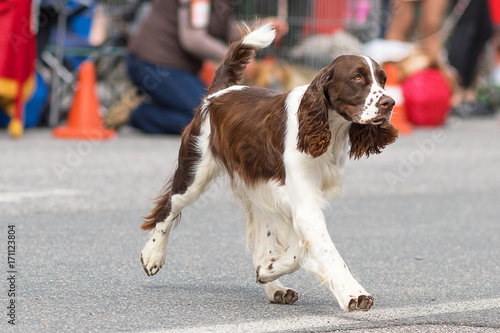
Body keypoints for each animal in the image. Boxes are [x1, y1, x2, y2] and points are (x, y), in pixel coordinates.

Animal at [140, 24, 398, 312]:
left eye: (383, 79)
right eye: (357, 78)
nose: (389, 103)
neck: (328, 127)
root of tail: (217, 94)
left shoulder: (300, 202)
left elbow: (297, 251)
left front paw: (267, 270)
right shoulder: (304, 203)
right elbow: (326, 252)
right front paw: (354, 293)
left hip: (257, 189)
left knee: (260, 242)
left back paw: (275, 288)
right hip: (195, 172)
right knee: (169, 207)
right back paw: (152, 255)